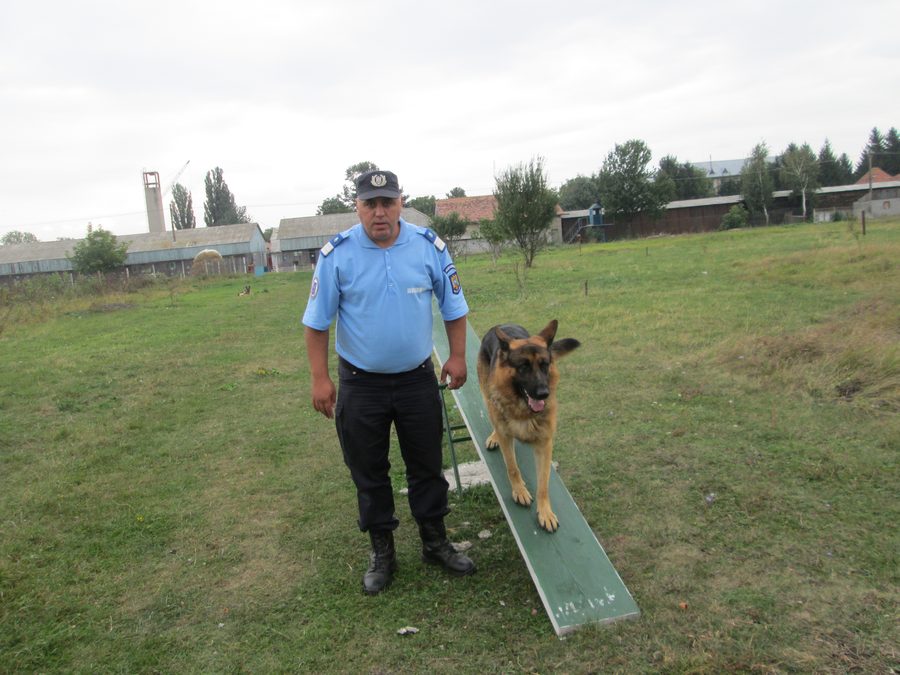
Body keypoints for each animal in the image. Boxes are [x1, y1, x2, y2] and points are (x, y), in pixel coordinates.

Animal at [477, 320, 580, 532]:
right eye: (523, 367)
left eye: (544, 365)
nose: (543, 394)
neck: (522, 409)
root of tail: (502, 324)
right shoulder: (507, 437)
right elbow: (512, 467)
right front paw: (520, 491)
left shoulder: (544, 444)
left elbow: (543, 484)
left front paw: (545, 513)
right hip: (487, 394)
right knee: (493, 415)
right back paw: (493, 436)